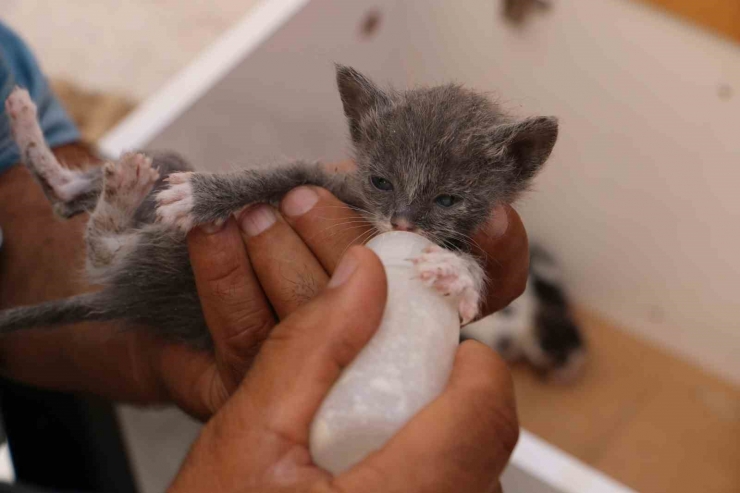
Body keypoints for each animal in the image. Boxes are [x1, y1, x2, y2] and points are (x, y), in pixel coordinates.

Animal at [0, 65, 556, 348]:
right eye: (380, 182)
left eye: (447, 199)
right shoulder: (320, 176)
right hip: (165, 181)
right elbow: (272, 176)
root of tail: (122, 299)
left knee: (94, 238)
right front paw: (203, 195)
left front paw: (457, 273)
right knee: (83, 222)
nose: (400, 222)